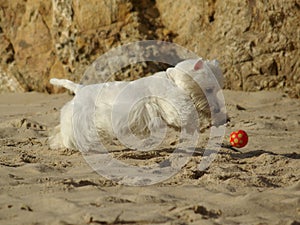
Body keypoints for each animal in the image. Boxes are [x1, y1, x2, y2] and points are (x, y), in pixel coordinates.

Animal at [48, 58, 225, 151]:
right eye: (209, 89)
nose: (216, 109)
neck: (174, 80)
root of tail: (79, 89)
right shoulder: (173, 105)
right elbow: (186, 115)